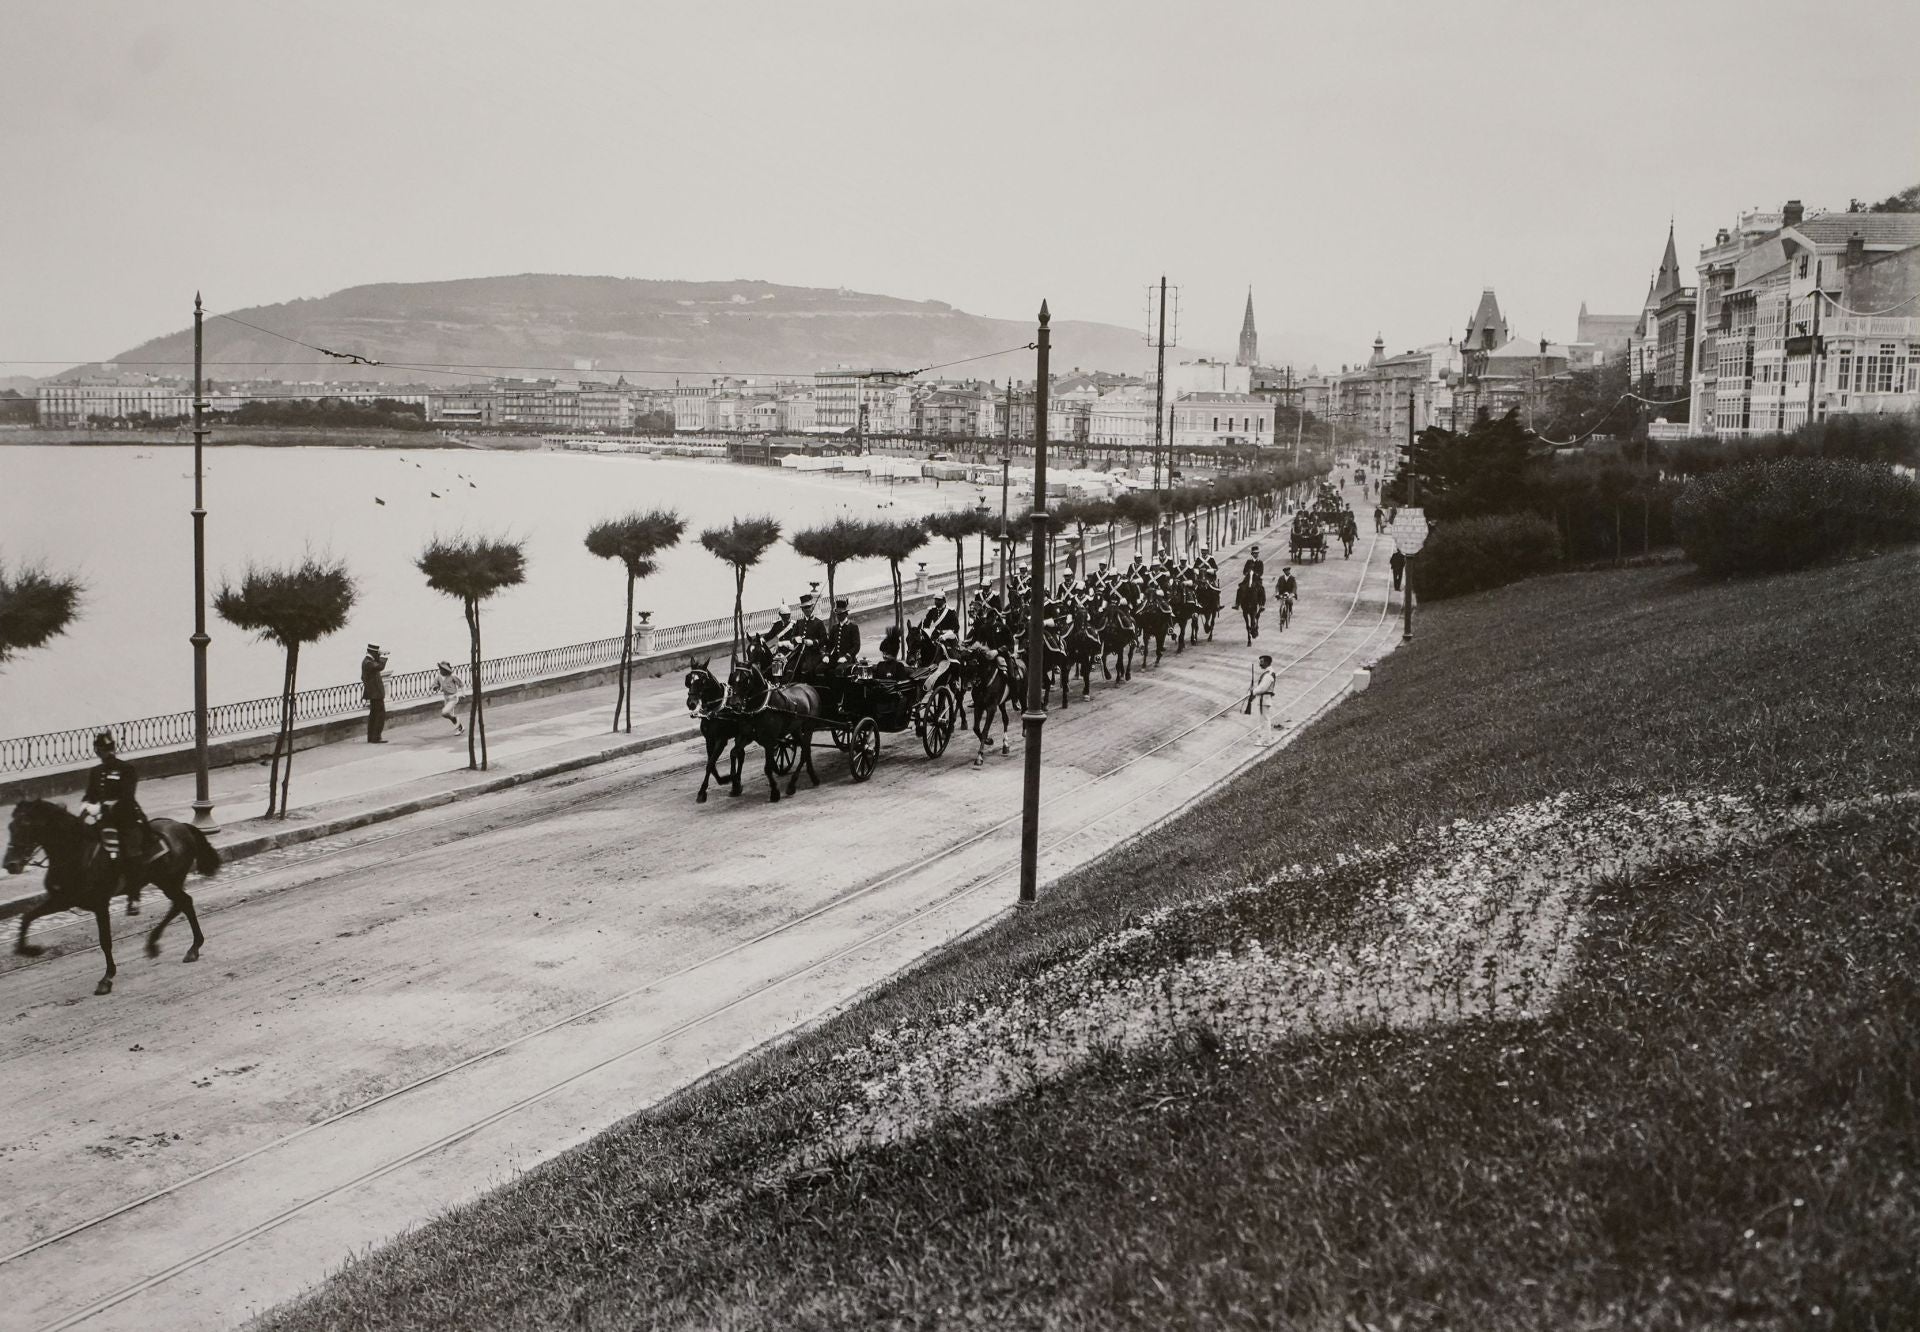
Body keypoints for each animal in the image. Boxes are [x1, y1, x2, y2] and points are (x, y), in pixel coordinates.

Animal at [6, 798, 217, 998]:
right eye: (10, 827)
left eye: (26, 825)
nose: (10, 864)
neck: (75, 852)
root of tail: (181, 825)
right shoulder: (62, 900)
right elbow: (27, 918)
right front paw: (30, 950)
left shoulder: (100, 904)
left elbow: (105, 941)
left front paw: (106, 979)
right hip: (165, 881)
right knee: (182, 904)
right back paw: (167, 944)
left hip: (168, 881)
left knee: (183, 902)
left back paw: (184, 946)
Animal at [687, 660, 744, 802]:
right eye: (689, 680)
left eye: (702, 680)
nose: (691, 703)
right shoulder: (709, 740)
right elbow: (711, 764)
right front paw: (724, 779)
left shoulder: (721, 740)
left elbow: (710, 763)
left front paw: (702, 792)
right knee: (739, 754)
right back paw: (736, 783)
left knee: (738, 754)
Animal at [721, 660, 821, 798]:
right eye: (731, 679)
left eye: (745, 680)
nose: (733, 704)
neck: (761, 706)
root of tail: (808, 687)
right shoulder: (747, 736)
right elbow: (733, 753)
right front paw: (735, 785)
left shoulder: (769, 741)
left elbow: (767, 768)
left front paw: (774, 792)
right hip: (795, 729)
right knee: (806, 750)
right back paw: (812, 777)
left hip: (809, 726)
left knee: (805, 751)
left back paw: (792, 785)